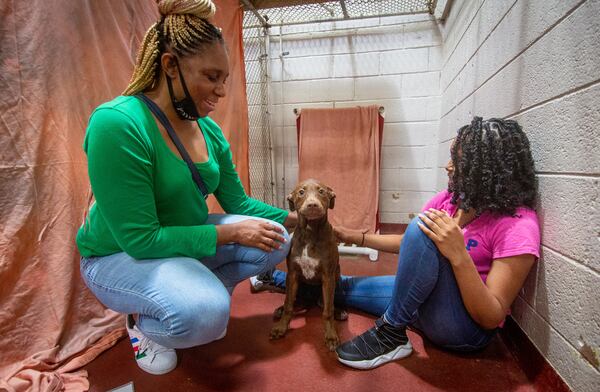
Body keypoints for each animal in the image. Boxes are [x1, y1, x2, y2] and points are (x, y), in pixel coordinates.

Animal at [268, 179, 340, 350]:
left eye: (321, 191)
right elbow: (288, 304)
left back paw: (339, 312)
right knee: (294, 301)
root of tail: (311, 300)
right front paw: (281, 327)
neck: (310, 232)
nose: (312, 205)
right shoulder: (292, 274)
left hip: (336, 279)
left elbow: (328, 311)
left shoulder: (328, 277)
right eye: (301, 192)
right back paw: (281, 310)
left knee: (329, 303)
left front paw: (330, 336)